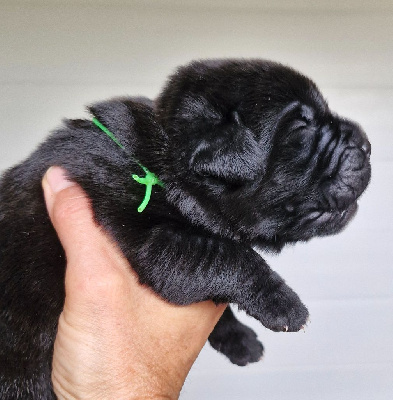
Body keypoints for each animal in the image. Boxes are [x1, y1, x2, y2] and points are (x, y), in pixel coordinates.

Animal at [0, 58, 370, 396]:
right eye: (300, 129)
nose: (367, 145)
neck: (167, 158)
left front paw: (238, 339)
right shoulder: (156, 242)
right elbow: (231, 256)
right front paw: (284, 305)